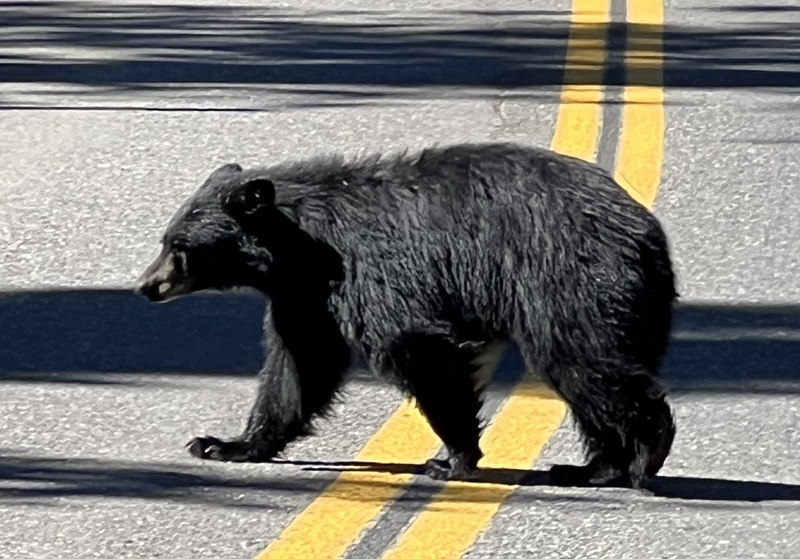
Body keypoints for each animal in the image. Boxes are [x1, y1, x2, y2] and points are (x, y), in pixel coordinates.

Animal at [136, 142, 678, 489]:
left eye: (180, 246)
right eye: (166, 239)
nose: (146, 286)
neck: (301, 249)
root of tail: (649, 234)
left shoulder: (372, 270)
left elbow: (415, 346)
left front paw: (452, 459)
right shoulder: (305, 298)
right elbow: (300, 366)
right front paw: (224, 444)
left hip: (568, 283)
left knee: (583, 363)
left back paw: (644, 453)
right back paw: (592, 468)